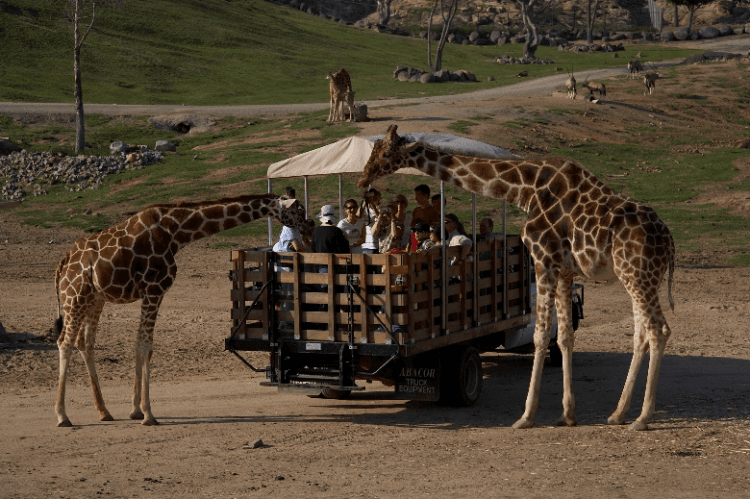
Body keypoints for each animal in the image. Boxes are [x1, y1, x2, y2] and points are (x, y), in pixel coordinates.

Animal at [53, 193, 312, 428]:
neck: (176, 233)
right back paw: (62, 416)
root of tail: (63, 262)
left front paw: (136, 410)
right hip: (75, 296)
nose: (309, 227)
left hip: (95, 299)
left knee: (85, 343)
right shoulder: (154, 290)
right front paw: (149, 414)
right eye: (297, 210)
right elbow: (145, 345)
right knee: (64, 342)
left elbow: (141, 345)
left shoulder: (151, 293)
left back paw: (104, 411)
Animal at [356, 126, 680, 434]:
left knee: (659, 330)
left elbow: (540, 336)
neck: (525, 190)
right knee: (641, 334)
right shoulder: (565, 271)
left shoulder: (543, 260)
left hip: (637, 274)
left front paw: (526, 416)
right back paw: (618, 413)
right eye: (374, 149)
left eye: (386, 154)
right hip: (638, 277)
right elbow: (564, 337)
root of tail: (669, 239)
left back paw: (642, 418)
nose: (362, 179)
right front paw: (567, 415)